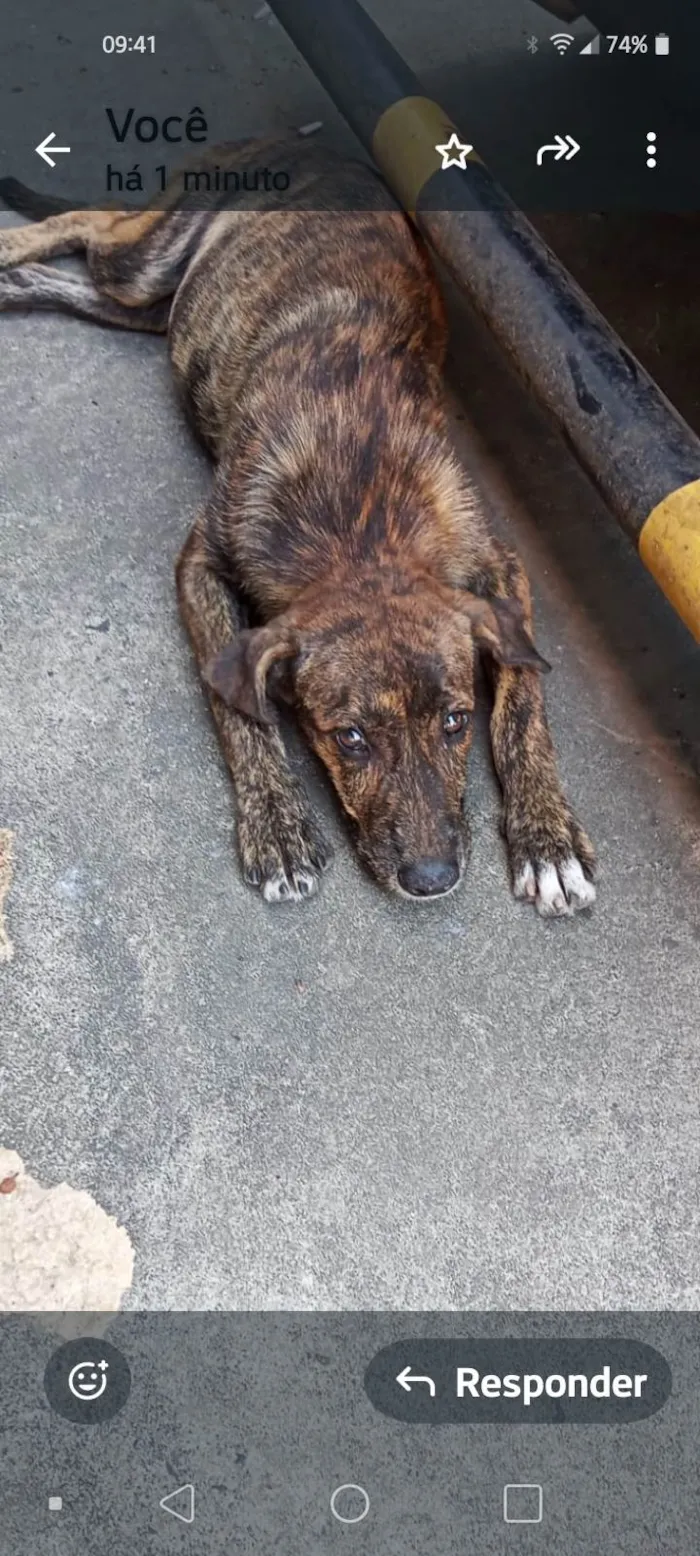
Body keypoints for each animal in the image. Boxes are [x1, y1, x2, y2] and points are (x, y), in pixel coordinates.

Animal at [0, 136, 597, 908]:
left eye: (457, 722)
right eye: (349, 738)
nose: (432, 881)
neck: (363, 530)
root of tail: (308, 138)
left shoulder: (499, 567)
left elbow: (524, 702)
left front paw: (546, 838)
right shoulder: (202, 561)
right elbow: (240, 709)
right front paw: (277, 825)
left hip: (166, 309)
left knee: (95, 282)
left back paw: (16, 281)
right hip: (146, 264)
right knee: (90, 222)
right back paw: (13, 248)